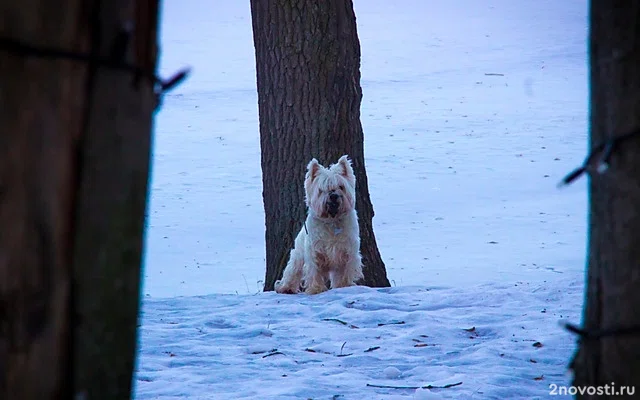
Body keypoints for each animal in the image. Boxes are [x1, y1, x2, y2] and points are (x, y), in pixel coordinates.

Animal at [276, 155, 364, 296]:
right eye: (321, 189)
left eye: (341, 186)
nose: (333, 196)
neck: (332, 220)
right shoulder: (314, 251)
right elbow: (314, 271)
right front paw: (315, 289)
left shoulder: (347, 251)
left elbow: (345, 271)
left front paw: (344, 286)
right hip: (298, 255)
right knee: (292, 270)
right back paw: (285, 287)